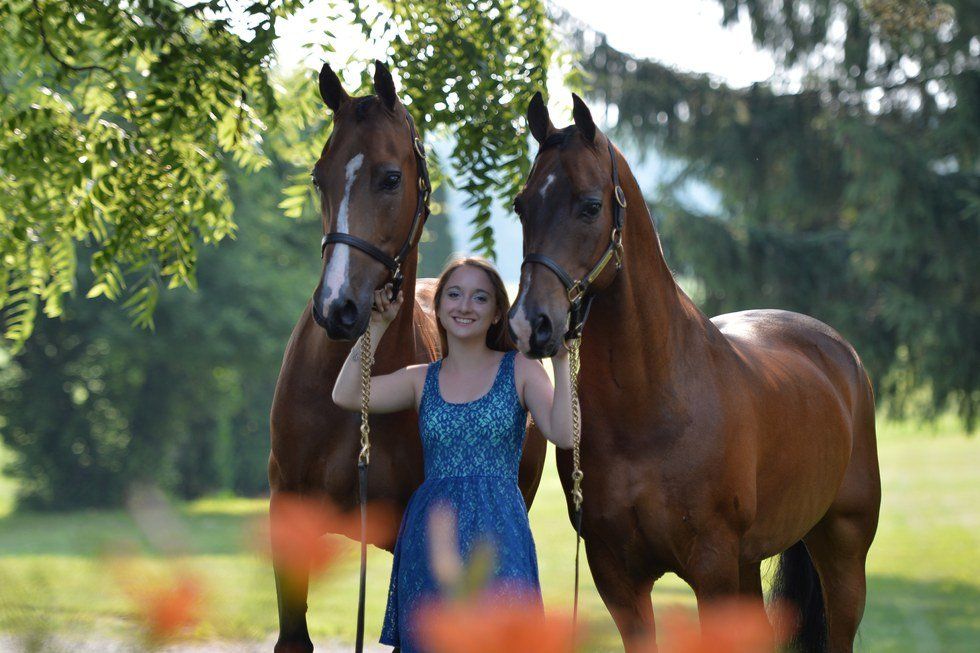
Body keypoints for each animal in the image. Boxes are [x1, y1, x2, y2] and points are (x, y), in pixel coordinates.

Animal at [507, 92, 881, 653]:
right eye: (522, 205)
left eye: (590, 205)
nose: (530, 324)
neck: (651, 409)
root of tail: (842, 355)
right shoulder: (616, 577)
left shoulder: (712, 567)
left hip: (842, 549)